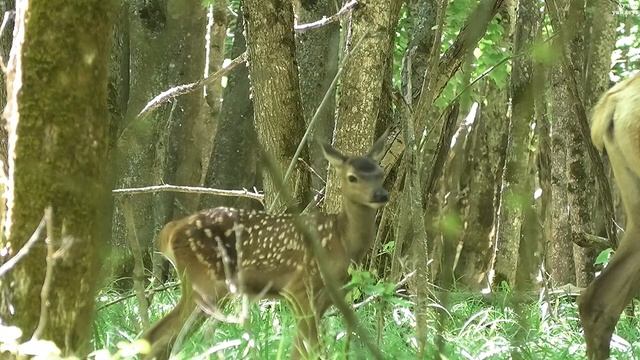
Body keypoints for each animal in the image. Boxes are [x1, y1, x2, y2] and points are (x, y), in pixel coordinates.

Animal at [142, 134, 388, 358]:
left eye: (381, 173)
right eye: (352, 177)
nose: (381, 194)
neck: (341, 240)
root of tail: (170, 230)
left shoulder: (328, 296)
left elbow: (301, 347)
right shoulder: (298, 285)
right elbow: (310, 346)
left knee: (164, 339)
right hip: (203, 282)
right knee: (157, 335)